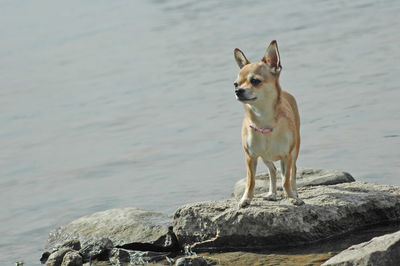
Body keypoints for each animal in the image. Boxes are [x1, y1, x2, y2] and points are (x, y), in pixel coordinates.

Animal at [231, 40, 304, 207]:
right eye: (235, 84)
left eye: (255, 81)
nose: (238, 91)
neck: (262, 120)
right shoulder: (250, 157)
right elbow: (251, 181)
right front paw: (246, 199)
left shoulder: (287, 156)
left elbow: (285, 180)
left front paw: (292, 197)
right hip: (264, 156)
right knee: (272, 170)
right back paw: (272, 193)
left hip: (294, 151)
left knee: (293, 171)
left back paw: (294, 192)